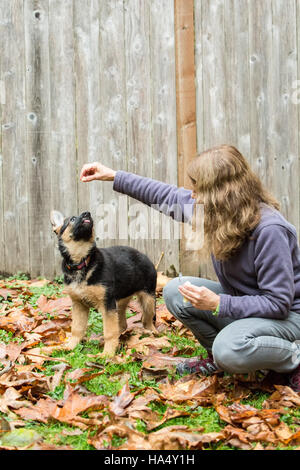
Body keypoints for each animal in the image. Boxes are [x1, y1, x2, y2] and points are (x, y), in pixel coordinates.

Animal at [49, 209, 157, 356]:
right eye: (72, 219)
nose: (87, 213)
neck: (82, 261)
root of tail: (145, 257)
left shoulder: (107, 304)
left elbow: (109, 332)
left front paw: (107, 354)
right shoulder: (79, 305)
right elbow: (76, 329)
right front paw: (69, 347)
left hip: (148, 299)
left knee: (147, 321)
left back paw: (154, 335)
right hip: (120, 301)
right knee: (122, 323)